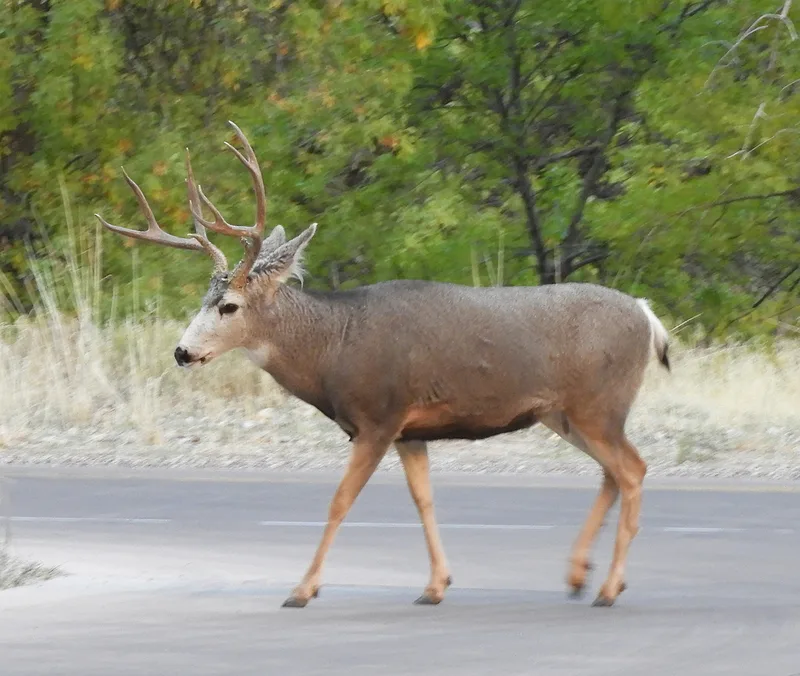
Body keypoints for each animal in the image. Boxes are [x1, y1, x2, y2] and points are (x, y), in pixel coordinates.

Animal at [96, 121, 671, 609]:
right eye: (202, 299)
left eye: (229, 306)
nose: (182, 351)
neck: (334, 345)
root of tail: (647, 315)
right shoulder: (409, 430)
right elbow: (423, 501)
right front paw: (436, 586)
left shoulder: (377, 417)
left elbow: (339, 502)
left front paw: (302, 589)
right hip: (565, 413)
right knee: (612, 474)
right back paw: (579, 576)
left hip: (598, 404)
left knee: (633, 470)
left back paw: (608, 588)